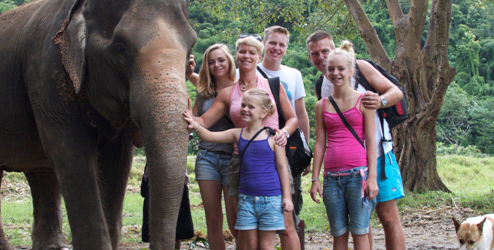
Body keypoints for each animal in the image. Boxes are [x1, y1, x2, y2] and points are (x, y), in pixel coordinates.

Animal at [0, 0, 197, 248]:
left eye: (191, 49)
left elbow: (116, 163)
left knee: (41, 172)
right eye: (120, 48)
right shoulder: (47, 75)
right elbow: (73, 156)